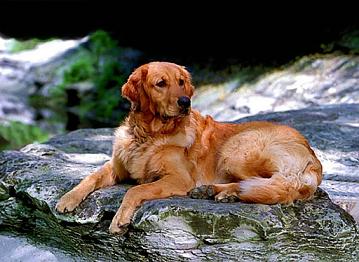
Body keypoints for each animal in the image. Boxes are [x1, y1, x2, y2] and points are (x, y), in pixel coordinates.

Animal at [56, 62, 324, 235]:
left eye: (181, 82)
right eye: (161, 83)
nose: (185, 102)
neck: (150, 134)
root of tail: (312, 156)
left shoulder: (179, 178)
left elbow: (135, 190)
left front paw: (120, 220)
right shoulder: (117, 165)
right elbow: (90, 177)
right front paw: (68, 199)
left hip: (235, 150)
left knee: (261, 183)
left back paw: (223, 192)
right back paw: (215, 191)